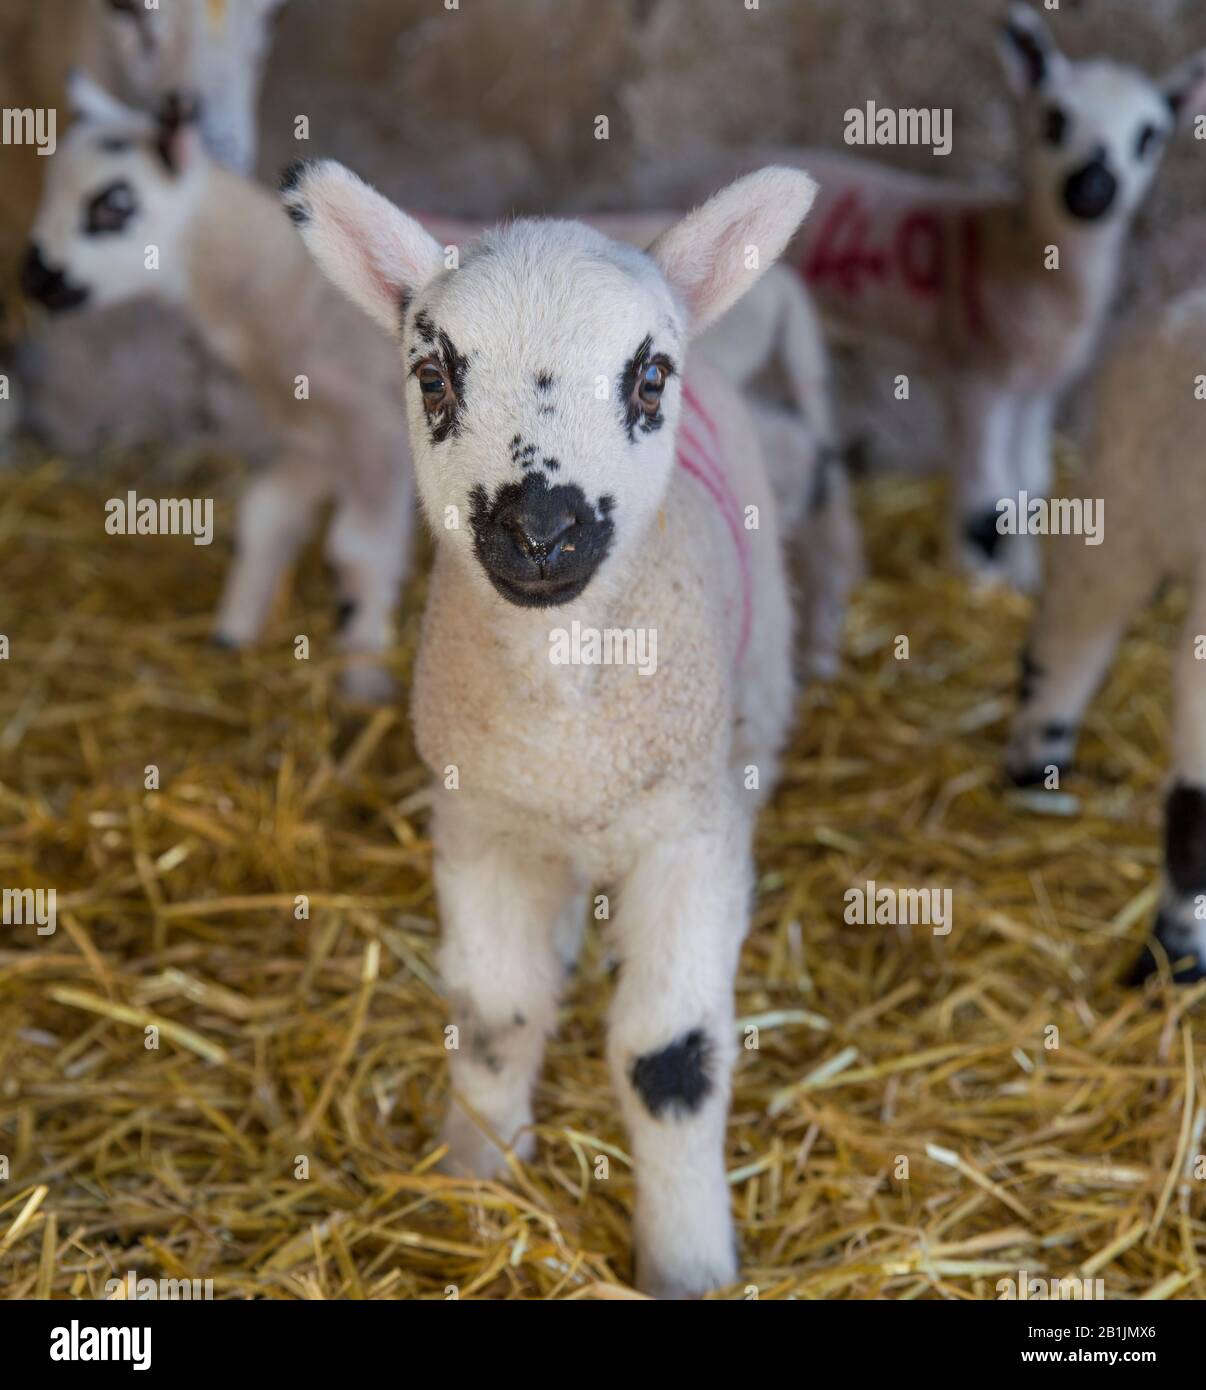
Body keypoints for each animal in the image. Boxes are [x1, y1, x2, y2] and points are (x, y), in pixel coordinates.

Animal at [24, 73, 414, 703]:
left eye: (114, 204)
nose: (31, 277)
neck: (281, 284)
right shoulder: (317, 436)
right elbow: (265, 514)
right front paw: (233, 633)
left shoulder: (373, 432)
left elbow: (358, 550)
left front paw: (362, 682)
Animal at [283, 156, 817, 1296]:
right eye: (432, 378)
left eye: (648, 378)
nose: (539, 526)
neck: (566, 722)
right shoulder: (482, 825)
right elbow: (498, 1015)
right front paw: (479, 1181)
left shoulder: (690, 837)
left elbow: (669, 1055)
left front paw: (687, 1258)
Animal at [608, 3, 1206, 592]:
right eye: (1055, 119)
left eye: (1150, 136)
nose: (1092, 189)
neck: (1019, 250)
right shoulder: (977, 377)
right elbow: (989, 495)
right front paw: (977, 582)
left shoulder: (1036, 388)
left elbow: (1032, 484)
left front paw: (1024, 579)